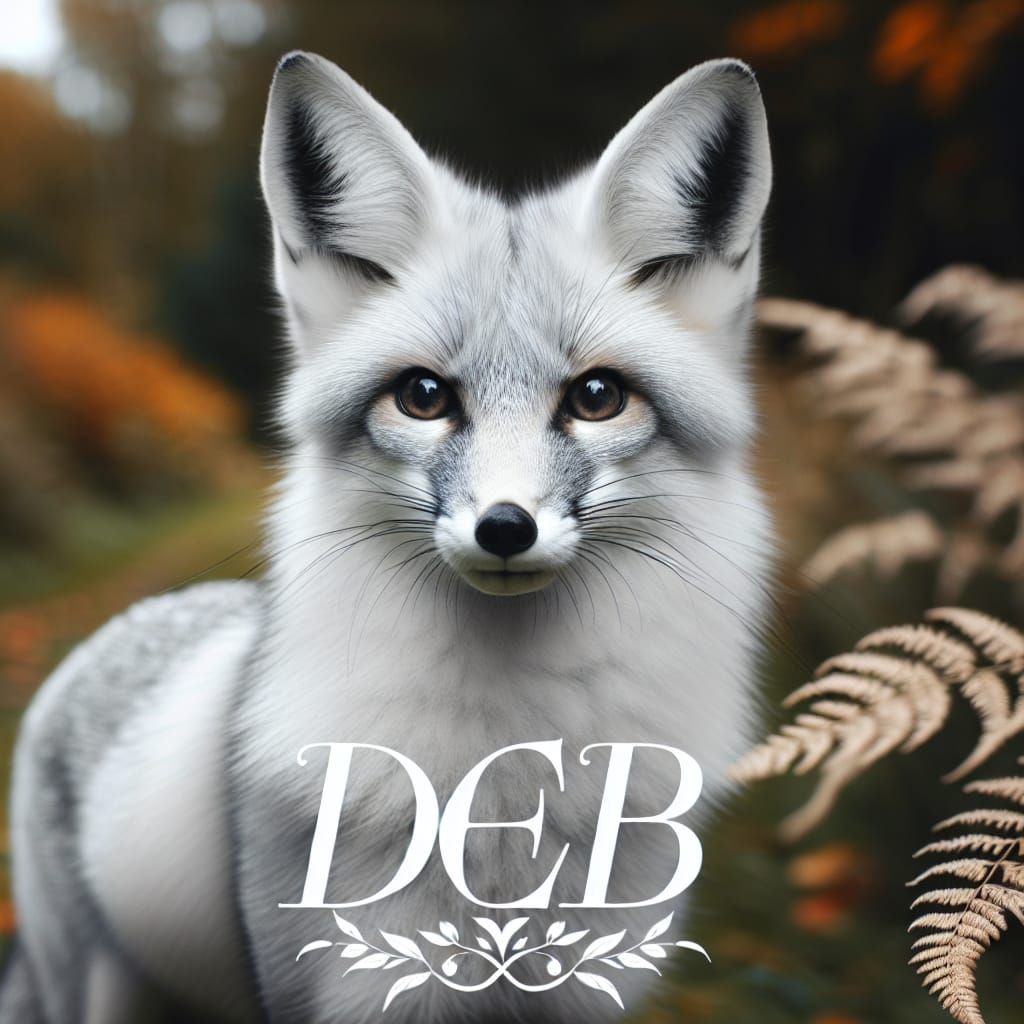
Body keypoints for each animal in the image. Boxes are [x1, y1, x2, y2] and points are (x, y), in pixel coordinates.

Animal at [0, 51, 773, 1024]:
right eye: (423, 396)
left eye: (597, 397)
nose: (505, 527)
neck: (505, 784)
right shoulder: (341, 989)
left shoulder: (590, 988)